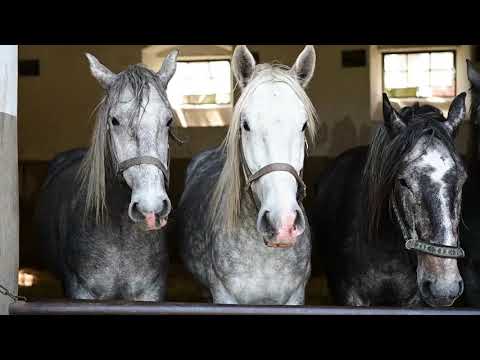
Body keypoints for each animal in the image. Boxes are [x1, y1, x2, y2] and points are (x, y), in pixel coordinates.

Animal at [34, 49, 179, 300]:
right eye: (115, 120)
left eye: (168, 120)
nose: (150, 207)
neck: (119, 232)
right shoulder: (81, 292)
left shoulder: (151, 294)